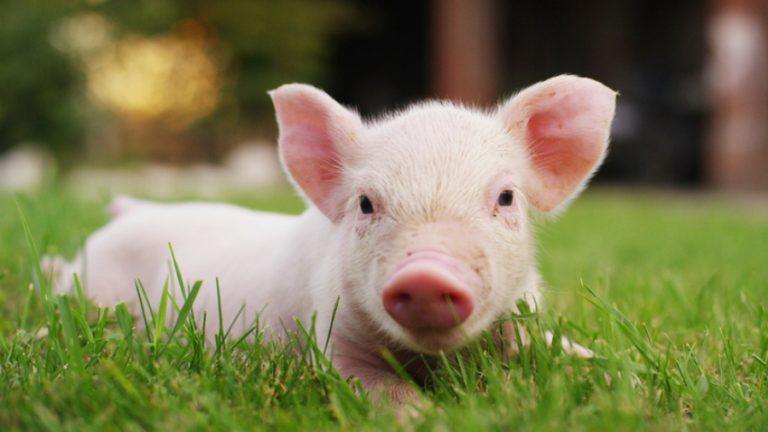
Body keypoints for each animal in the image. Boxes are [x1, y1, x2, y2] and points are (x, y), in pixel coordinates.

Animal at [43, 75, 616, 402]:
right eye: (365, 203)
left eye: (506, 198)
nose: (426, 272)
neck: (431, 359)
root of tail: (131, 209)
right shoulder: (331, 337)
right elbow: (381, 391)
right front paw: (427, 414)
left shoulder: (522, 319)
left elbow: (562, 351)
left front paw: (611, 376)